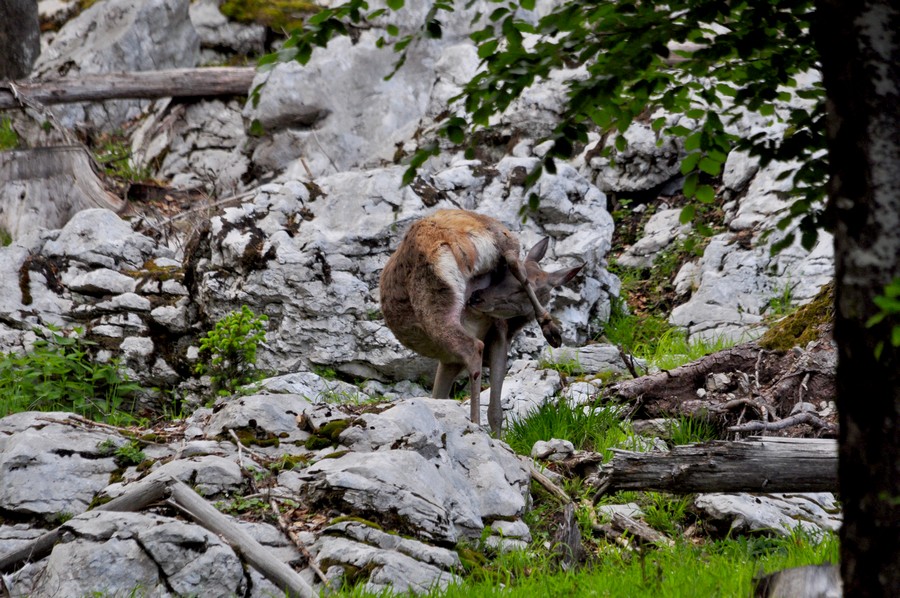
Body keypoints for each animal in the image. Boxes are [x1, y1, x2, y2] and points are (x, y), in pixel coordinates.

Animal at [376, 211, 580, 436]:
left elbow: (442, 396)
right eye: (501, 280)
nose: (478, 298)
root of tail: (460, 241)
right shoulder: (481, 343)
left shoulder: (453, 357)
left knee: (473, 347)